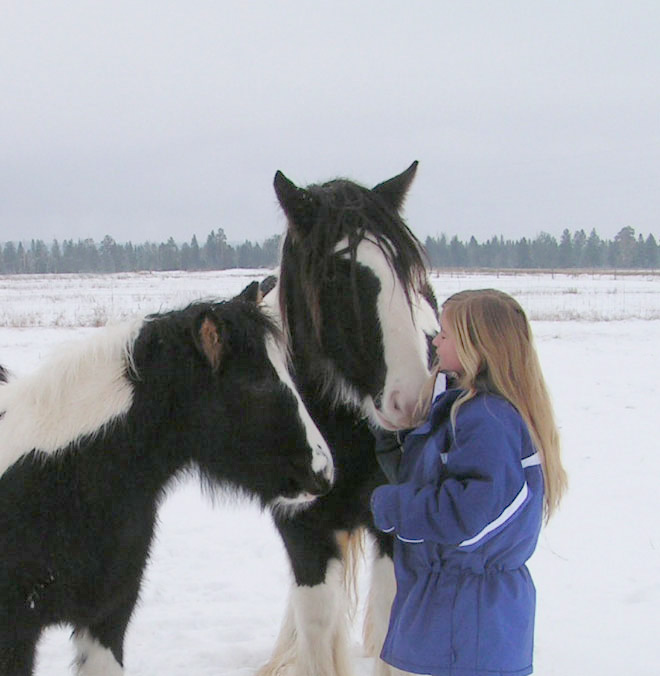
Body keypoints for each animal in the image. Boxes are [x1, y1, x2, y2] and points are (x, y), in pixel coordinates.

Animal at [260, 162, 440, 676]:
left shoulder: (395, 528)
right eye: (337, 276)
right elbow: (319, 625)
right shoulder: (302, 533)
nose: (412, 400)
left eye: (407, 271)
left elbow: (389, 623)